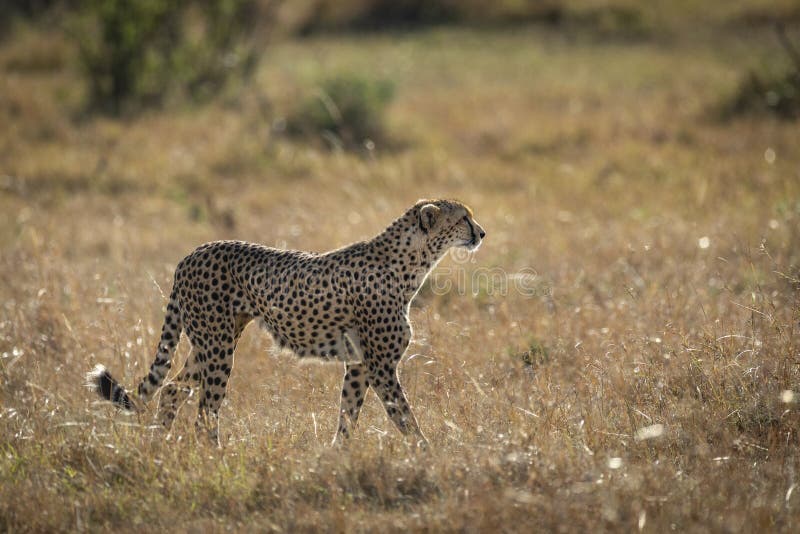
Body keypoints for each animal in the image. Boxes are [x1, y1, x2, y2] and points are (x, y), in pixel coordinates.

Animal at [87, 199, 488, 446]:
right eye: (463, 218)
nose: (481, 233)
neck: (411, 262)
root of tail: (193, 252)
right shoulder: (380, 366)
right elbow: (404, 417)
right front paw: (428, 454)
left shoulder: (359, 365)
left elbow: (348, 414)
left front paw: (336, 456)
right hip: (217, 347)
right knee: (205, 411)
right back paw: (215, 456)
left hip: (212, 341)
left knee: (171, 389)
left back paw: (161, 444)